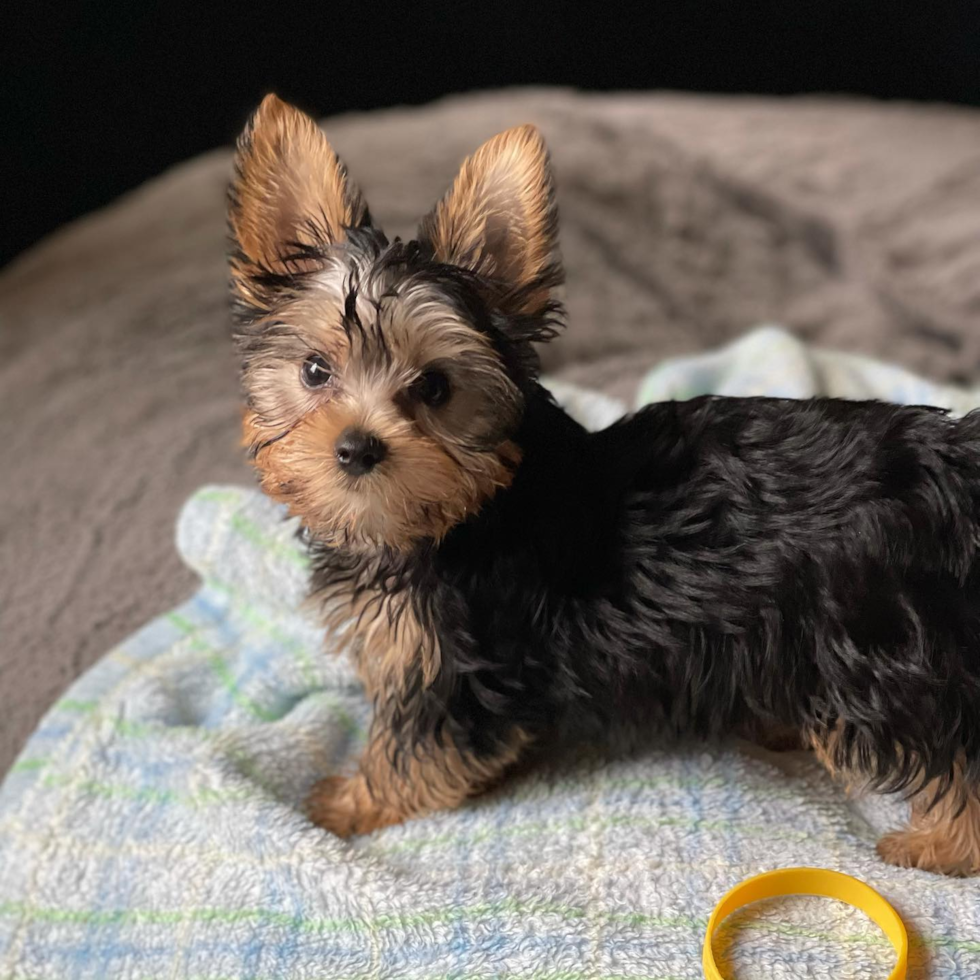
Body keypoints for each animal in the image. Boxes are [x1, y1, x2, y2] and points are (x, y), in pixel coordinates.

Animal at [230, 95, 980, 876]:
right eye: (315, 371)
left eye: (435, 387)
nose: (356, 448)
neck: (467, 509)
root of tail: (947, 462)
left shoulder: (456, 660)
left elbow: (414, 750)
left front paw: (348, 803)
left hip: (873, 640)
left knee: (938, 747)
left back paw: (936, 845)